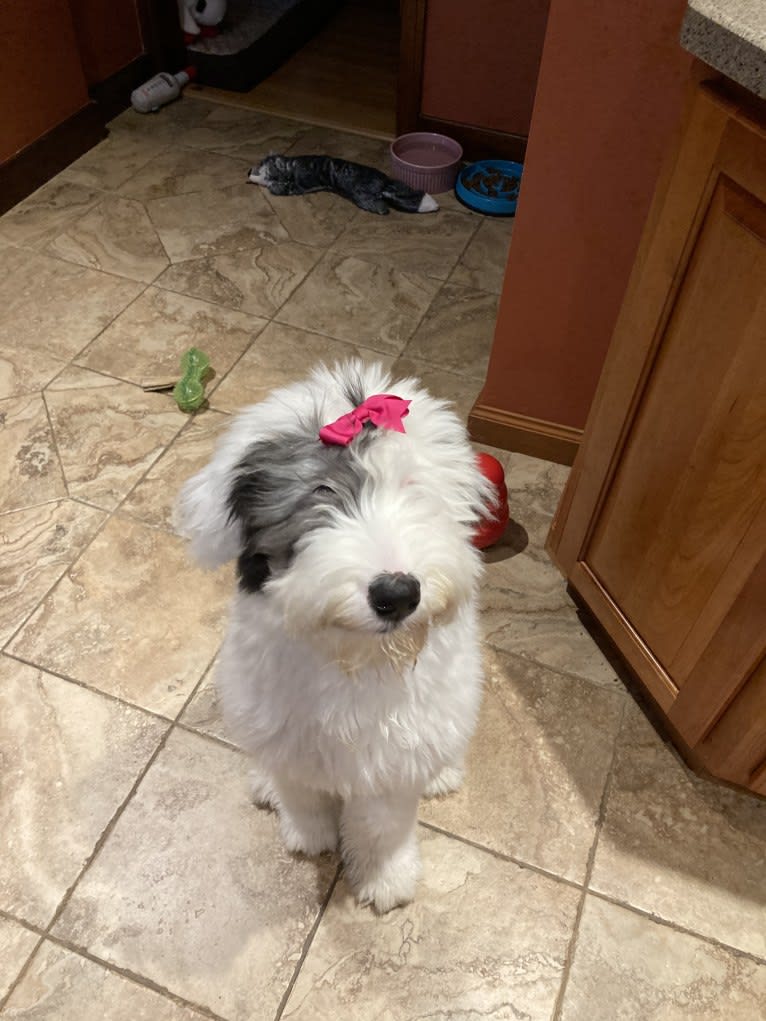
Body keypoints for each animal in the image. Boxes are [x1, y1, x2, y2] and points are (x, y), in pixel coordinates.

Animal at [176, 359, 488, 910]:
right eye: (321, 495)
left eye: (414, 488)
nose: (397, 593)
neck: (358, 658)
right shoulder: (287, 732)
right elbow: (302, 794)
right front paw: (310, 837)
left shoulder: (396, 752)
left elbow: (383, 824)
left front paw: (386, 878)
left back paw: (443, 773)